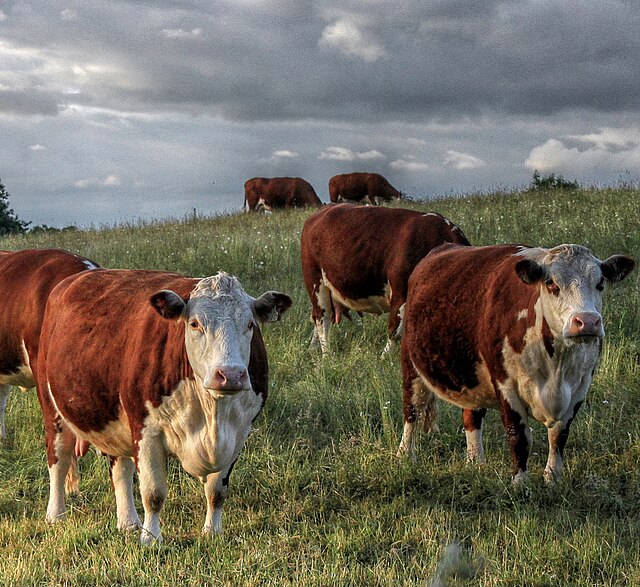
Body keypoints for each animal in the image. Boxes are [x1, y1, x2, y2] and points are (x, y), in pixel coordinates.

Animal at [36, 268, 292, 544]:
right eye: (194, 323)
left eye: (250, 324)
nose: (231, 374)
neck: (212, 415)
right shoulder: (146, 430)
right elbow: (153, 493)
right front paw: (151, 539)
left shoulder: (238, 433)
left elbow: (216, 491)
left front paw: (212, 532)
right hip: (52, 408)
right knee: (59, 460)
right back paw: (56, 514)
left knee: (120, 469)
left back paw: (128, 522)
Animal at [300, 203, 470, 354]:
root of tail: (321, 211)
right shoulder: (400, 293)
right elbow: (395, 331)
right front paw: (384, 359)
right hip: (316, 282)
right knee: (322, 319)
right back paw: (327, 356)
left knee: (318, 318)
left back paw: (312, 351)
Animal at [400, 241, 636, 484]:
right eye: (551, 283)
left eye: (600, 283)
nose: (587, 321)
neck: (557, 365)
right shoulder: (506, 385)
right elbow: (520, 437)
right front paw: (520, 482)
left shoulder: (580, 387)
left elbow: (559, 435)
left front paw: (552, 478)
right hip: (411, 363)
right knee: (412, 409)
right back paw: (405, 455)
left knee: (471, 416)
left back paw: (475, 461)